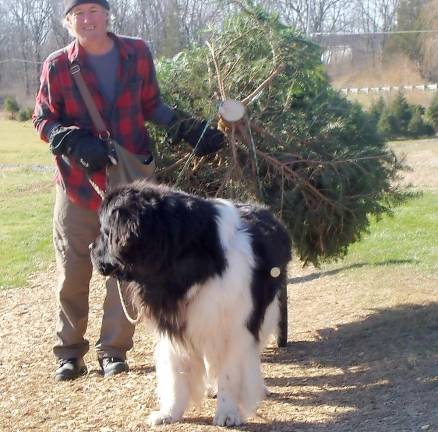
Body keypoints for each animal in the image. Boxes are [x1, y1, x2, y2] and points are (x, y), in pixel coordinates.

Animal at [90, 181, 290, 426]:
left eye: (104, 231)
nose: (90, 248)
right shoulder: (177, 325)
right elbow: (177, 373)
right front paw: (169, 413)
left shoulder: (237, 330)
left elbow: (231, 373)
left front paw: (228, 412)